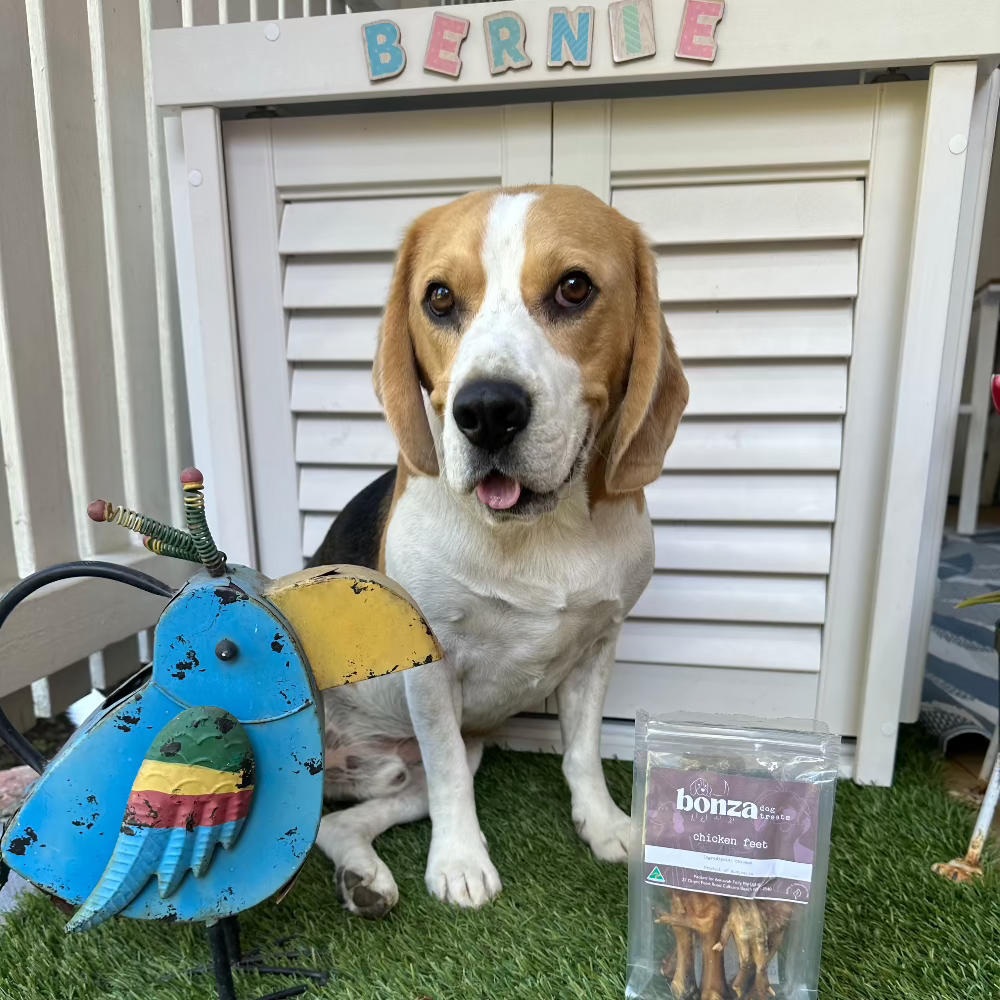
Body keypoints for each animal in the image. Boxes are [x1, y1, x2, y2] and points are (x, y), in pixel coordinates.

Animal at [310, 184, 688, 916]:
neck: (540, 533)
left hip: (415, 772)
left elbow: (582, 751)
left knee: (331, 825)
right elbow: (451, 776)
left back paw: (362, 877)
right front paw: (460, 863)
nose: (486, 411)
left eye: (574, 287)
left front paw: (604, 824)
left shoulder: (599, 645)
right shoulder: (430, 667)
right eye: (438, 298)